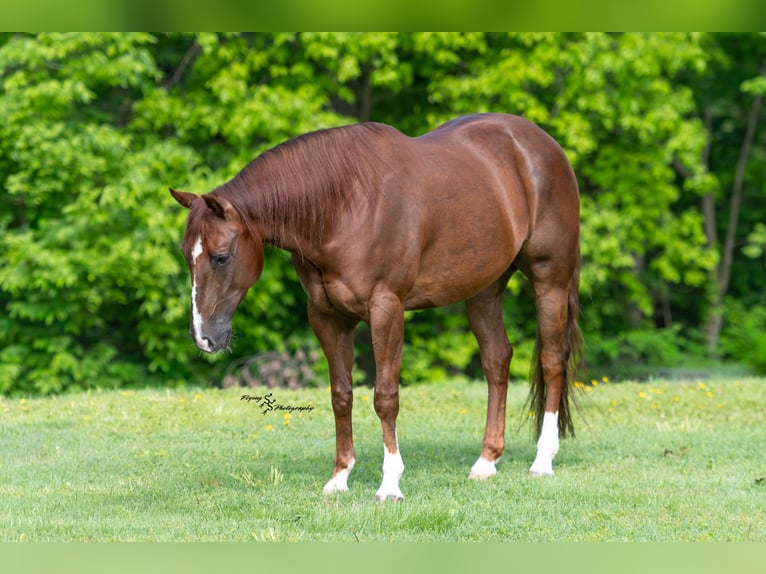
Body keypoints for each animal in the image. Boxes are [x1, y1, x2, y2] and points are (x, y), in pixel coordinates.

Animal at [170, 113, 582, 501]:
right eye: (187, 255)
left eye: (221, 257)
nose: (203, 337)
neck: (343, 208)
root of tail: (543, 145)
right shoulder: (327, 317)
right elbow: (341, 395)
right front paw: (339, 479)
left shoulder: (386, 310)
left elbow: (385, 398)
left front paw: (390, 484)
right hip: (484, 290)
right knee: (497, 360)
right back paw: (486, 461)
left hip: (550, 279)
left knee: (551, 361)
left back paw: (543, 460)